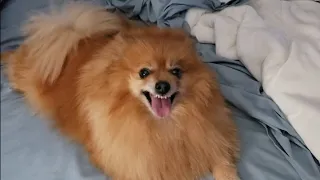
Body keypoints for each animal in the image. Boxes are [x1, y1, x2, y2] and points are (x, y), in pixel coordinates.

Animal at [1, 1, 239, 180]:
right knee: (15, 62)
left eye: (176, 71)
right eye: (144, 72)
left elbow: (222, 160)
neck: (164, 126)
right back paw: (6, 58)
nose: (162, 85)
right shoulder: (132, 162)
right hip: (29, 75)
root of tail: (73, 34)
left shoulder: (212, 137)